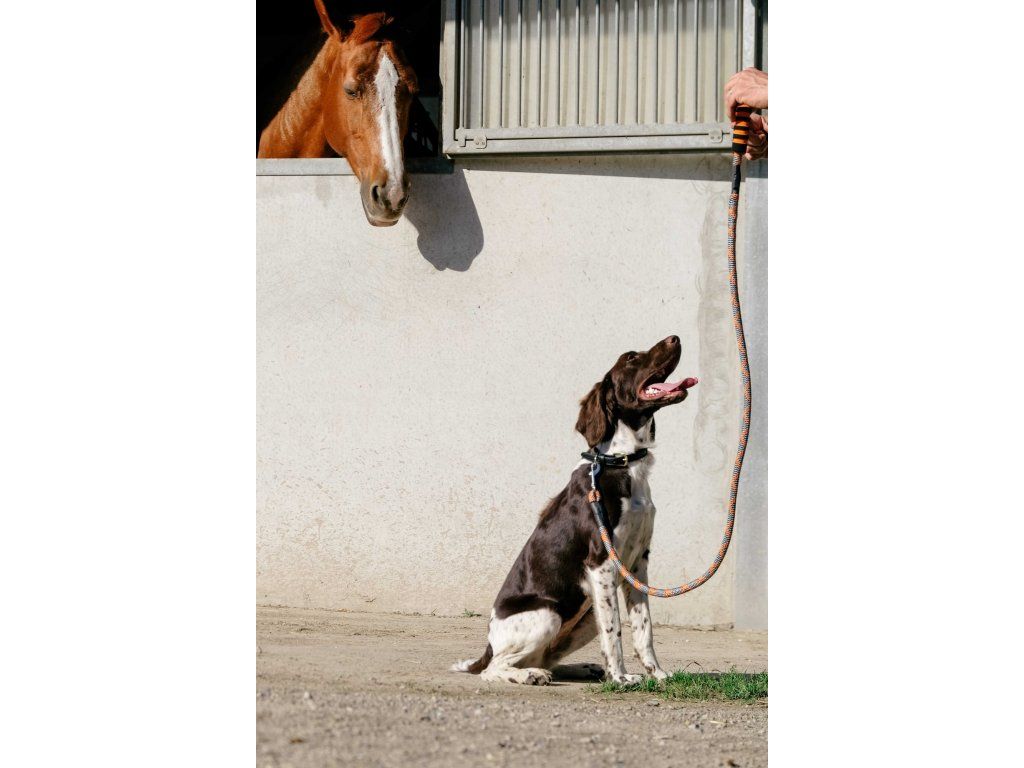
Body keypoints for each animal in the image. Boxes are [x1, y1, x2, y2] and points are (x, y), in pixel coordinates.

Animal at [452, 335, 698, 685]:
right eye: (631, 358)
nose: (674, 337)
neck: (622, 462)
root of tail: (487, 645)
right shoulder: (601, 561)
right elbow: (615, 631)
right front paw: (621, 678)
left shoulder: (638, 563)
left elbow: (643, 628)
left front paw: (658, 675)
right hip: (549, 613)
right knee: (493, 668)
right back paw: (530, 675)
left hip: (585, 616)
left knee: (547, 657)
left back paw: (578, 669)